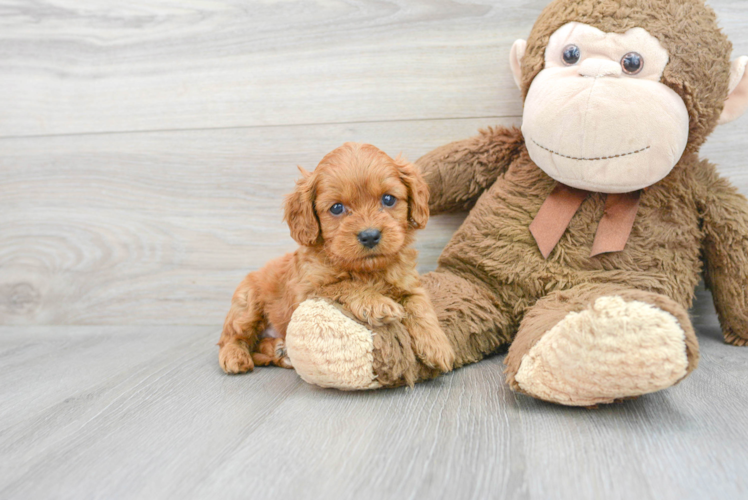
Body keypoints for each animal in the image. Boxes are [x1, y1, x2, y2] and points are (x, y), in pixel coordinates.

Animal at [218, 141, 456, 376]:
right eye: (337, 208)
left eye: (388, 199)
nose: (370, 235)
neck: (367, 270)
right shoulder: (307, 292)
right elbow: (343, 285)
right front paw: (377, 303)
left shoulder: (410, 285)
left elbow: (421, 307)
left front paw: (437, 346)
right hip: (247, 304)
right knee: (232, 336)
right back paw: (235, 356)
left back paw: (279, 350)